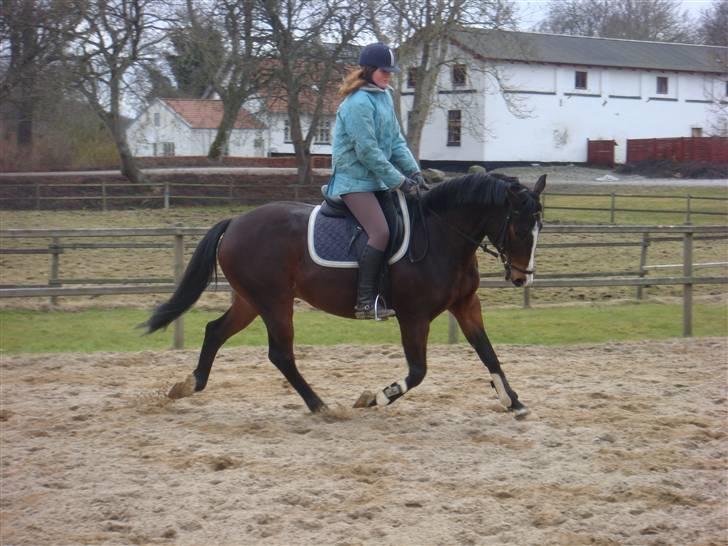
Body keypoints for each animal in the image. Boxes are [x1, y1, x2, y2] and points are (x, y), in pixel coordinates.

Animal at [145, 173, 544, 416]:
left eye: (539, 226)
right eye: (519, 228)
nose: (522, 278)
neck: (441, 234)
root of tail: (236, 222)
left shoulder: (465, 305)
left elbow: (488, 352)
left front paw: (513, 401)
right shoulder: (414, 316)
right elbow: (418, 372)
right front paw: (373, 397)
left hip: (250, 301)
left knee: (215, 331)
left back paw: (188, 385)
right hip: (274, 302)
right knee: (280, 354)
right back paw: (320, 405)